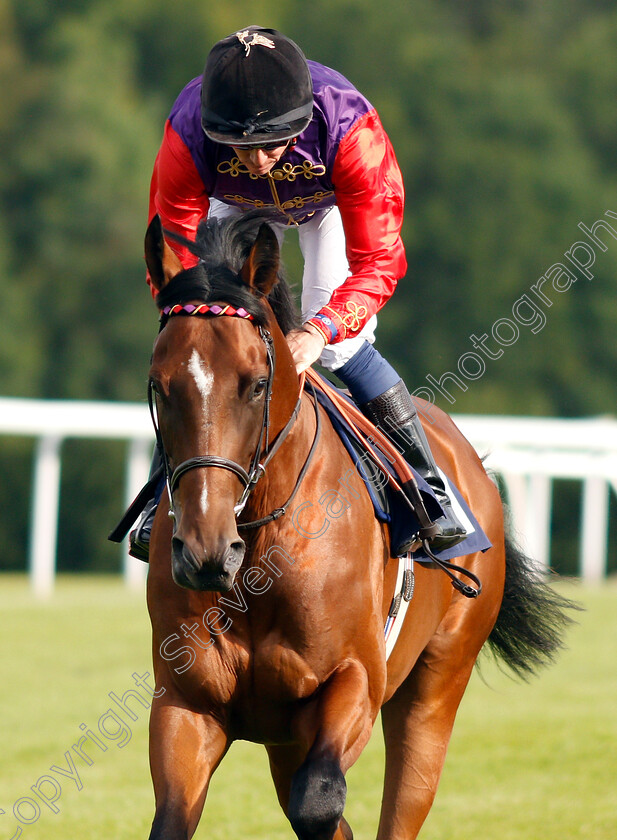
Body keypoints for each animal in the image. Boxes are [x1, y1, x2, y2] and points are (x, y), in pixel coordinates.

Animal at [142, 212, 576, 840]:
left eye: (255, 383)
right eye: (159, 385)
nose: (205, 551)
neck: (262, 553)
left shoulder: (354, 682)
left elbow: (320, 802)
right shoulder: (187, 701)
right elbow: (178, 818)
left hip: (436, 685)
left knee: (402, 796)